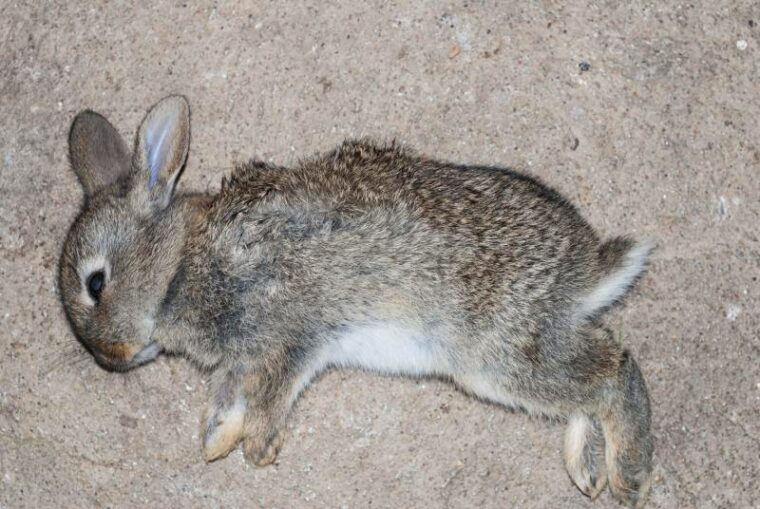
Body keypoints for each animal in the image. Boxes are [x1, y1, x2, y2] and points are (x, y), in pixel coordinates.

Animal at [59, 95, 654, 507]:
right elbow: (228, 395)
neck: (181, 262)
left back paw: (628, 474)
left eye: (96, 283)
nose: (110, 358)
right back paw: (587, 471)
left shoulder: (293, 326)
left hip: (498, 354)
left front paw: (257, 447)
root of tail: (589, 271)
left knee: (612, 369)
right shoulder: (244, 358)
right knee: (591, 374)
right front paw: (216, 441)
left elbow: (274, 388)